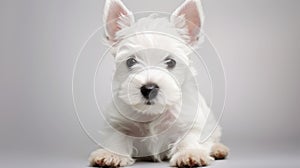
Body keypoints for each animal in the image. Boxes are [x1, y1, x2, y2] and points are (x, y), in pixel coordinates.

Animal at [88, 0, 229, 166]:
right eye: (130, 61)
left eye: (171, 62)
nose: (149, 88)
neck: (153, 112)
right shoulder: (118, 122)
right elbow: (116, 138)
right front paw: (111, 154)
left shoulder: (190, 122)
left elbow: (189, 139)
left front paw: (189, 154)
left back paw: (218, 149)